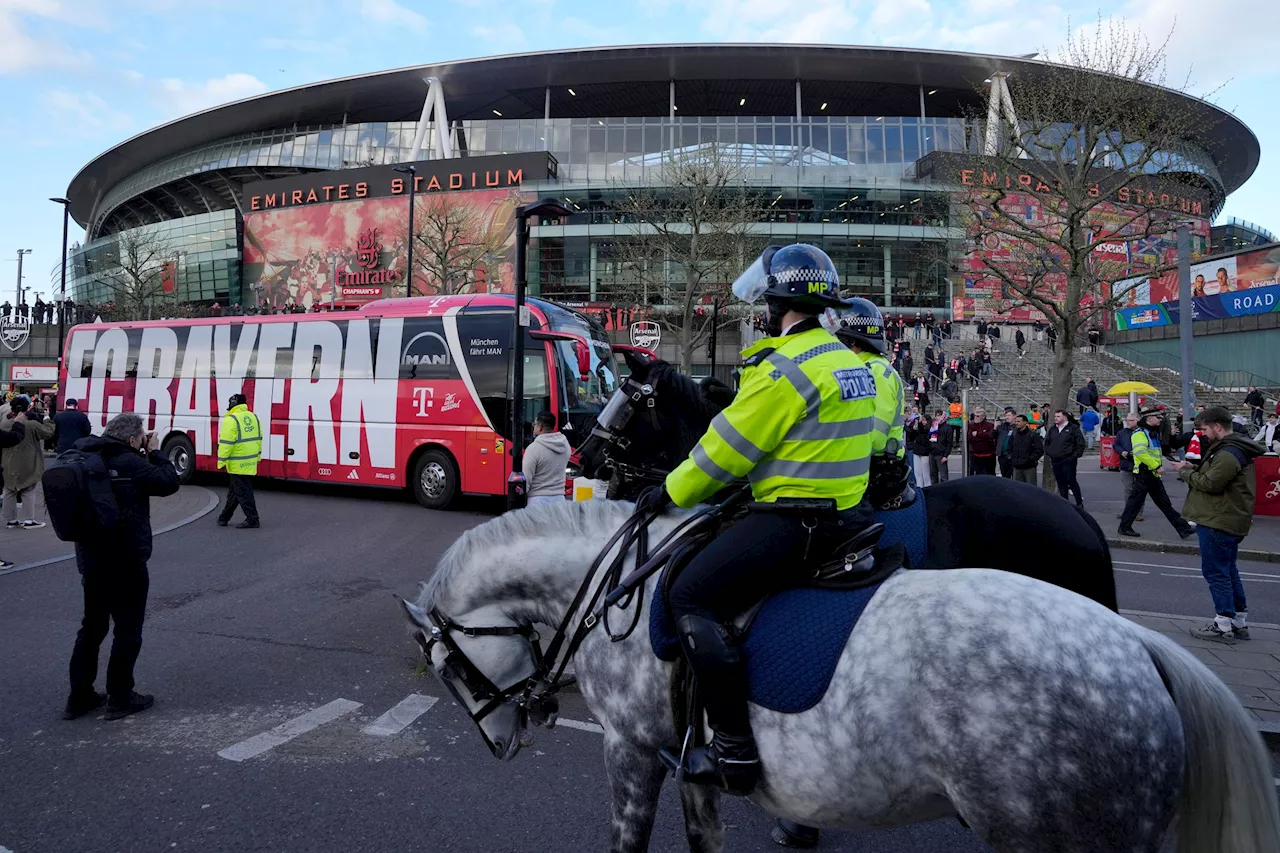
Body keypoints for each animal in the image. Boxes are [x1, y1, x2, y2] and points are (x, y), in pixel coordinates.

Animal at [404, 499, 1280, 850]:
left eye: (450, 669)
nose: (504, 738)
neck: (628, 584)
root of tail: (1137, 644)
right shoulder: (688, 760)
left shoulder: (632, 747)